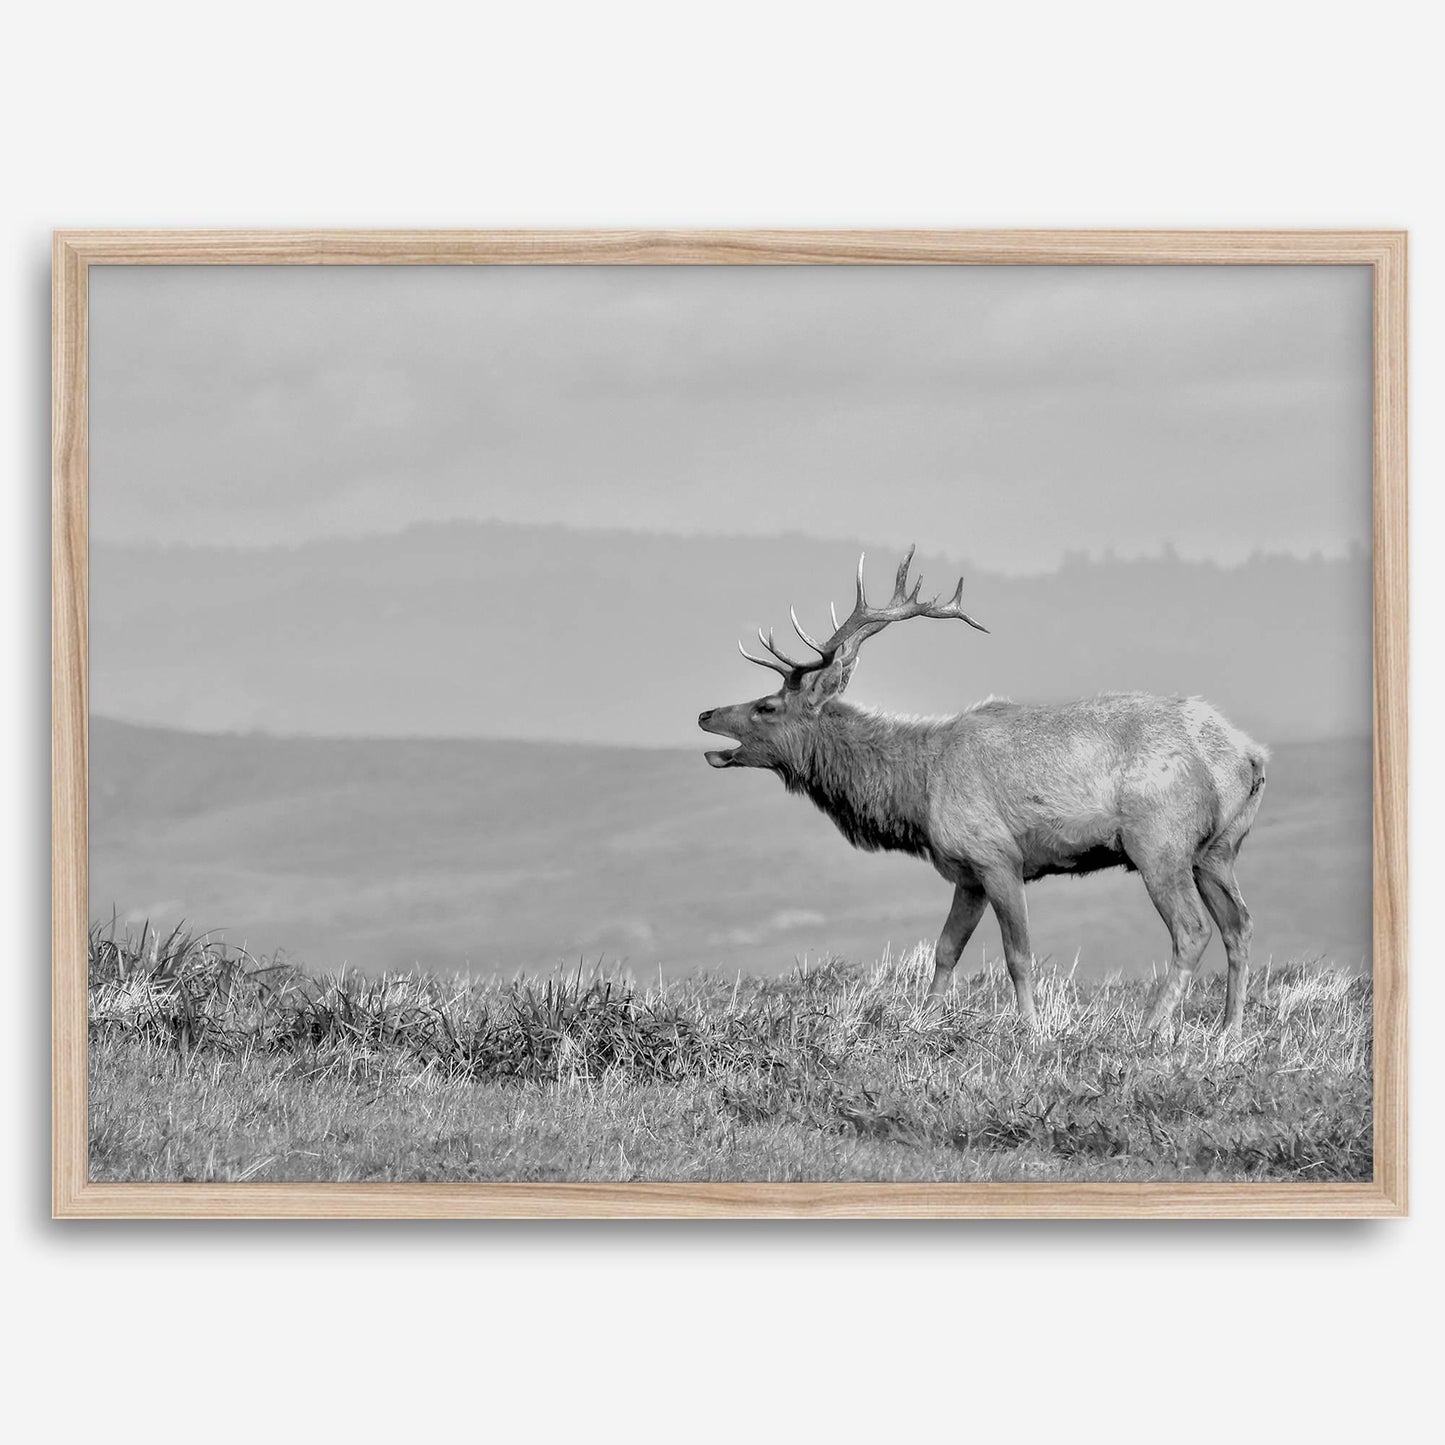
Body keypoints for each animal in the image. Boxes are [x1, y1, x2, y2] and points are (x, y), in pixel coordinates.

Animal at [698, 547, 1268, 1033]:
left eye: (767, 706)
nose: (705, 713)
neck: (917, 792)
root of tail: (1250, 755)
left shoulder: (998, 857)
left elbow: (1018, 955)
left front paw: (1031, 1031)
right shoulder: (966, 872)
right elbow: (945, 950)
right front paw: (924, 1021)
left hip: (1159, 842)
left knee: (1192, 929)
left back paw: (1151, 1028)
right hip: (1217, 849)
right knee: (1238, 925)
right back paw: (1230, 1028)